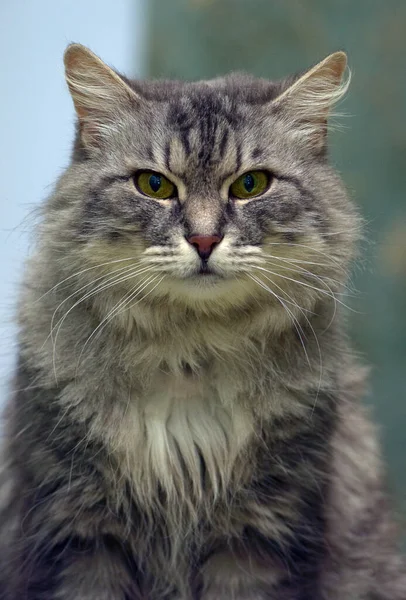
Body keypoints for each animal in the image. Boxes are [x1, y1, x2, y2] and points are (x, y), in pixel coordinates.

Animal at [0, 43, 406, 600]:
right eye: (154, 185)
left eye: (251, 185)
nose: (205, 240)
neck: (191, 355)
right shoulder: (75, 526)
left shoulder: (263, 531)